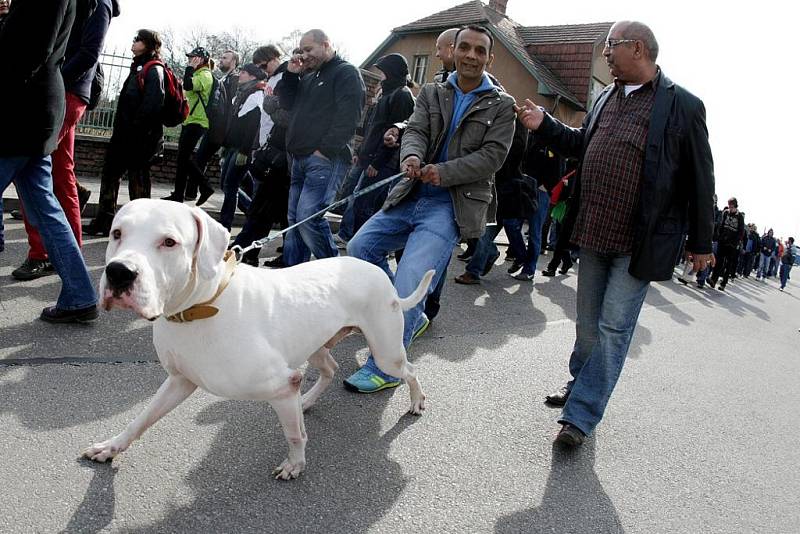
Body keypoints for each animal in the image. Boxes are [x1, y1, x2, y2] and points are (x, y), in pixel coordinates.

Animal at [84, 200, 434, 482]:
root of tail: (378, 271)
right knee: (330, 369)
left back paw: (416, 401)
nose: (119, 272)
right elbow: (141, 419)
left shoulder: (282, 385)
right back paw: (307, 400)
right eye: (117, 233)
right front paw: (111, 447)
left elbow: (294, 434)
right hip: (316, 344)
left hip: (386, 351)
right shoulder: (179, 381)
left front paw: (295, 464)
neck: (202, 306)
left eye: (169, 242)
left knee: (409, 370)